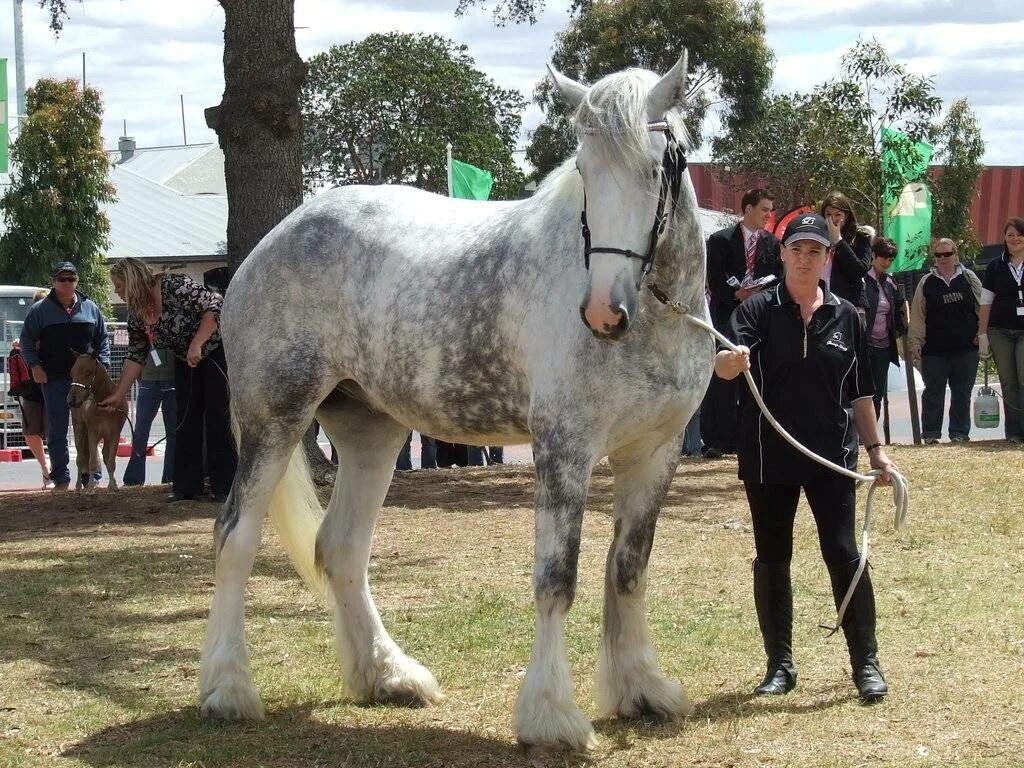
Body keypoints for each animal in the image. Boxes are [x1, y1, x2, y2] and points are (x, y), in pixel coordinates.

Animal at [66, 352, 126, 489]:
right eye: (71, 373)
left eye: (88, 372)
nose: (71, 400)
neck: (104, 405)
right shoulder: (93, 433)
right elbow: (92, 462)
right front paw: (90, 488)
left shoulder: (114, 434)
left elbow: (110, 461)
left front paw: (113, 487)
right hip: (79, 429)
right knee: (81, 459)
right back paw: (79, 486)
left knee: (103, 455)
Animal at [197, 55, 712, 753]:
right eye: (583, 168)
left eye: (657, 168)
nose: (605, 312)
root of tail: (271, 243)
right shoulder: (565, 449)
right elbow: (557, 579)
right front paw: (551, 716)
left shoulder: (655, 453)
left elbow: (627, 569)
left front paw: (642, 690)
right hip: (274, 421)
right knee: (235, 538)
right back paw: (227, 689)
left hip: (371, 434)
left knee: (341, 549)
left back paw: (389, 675)